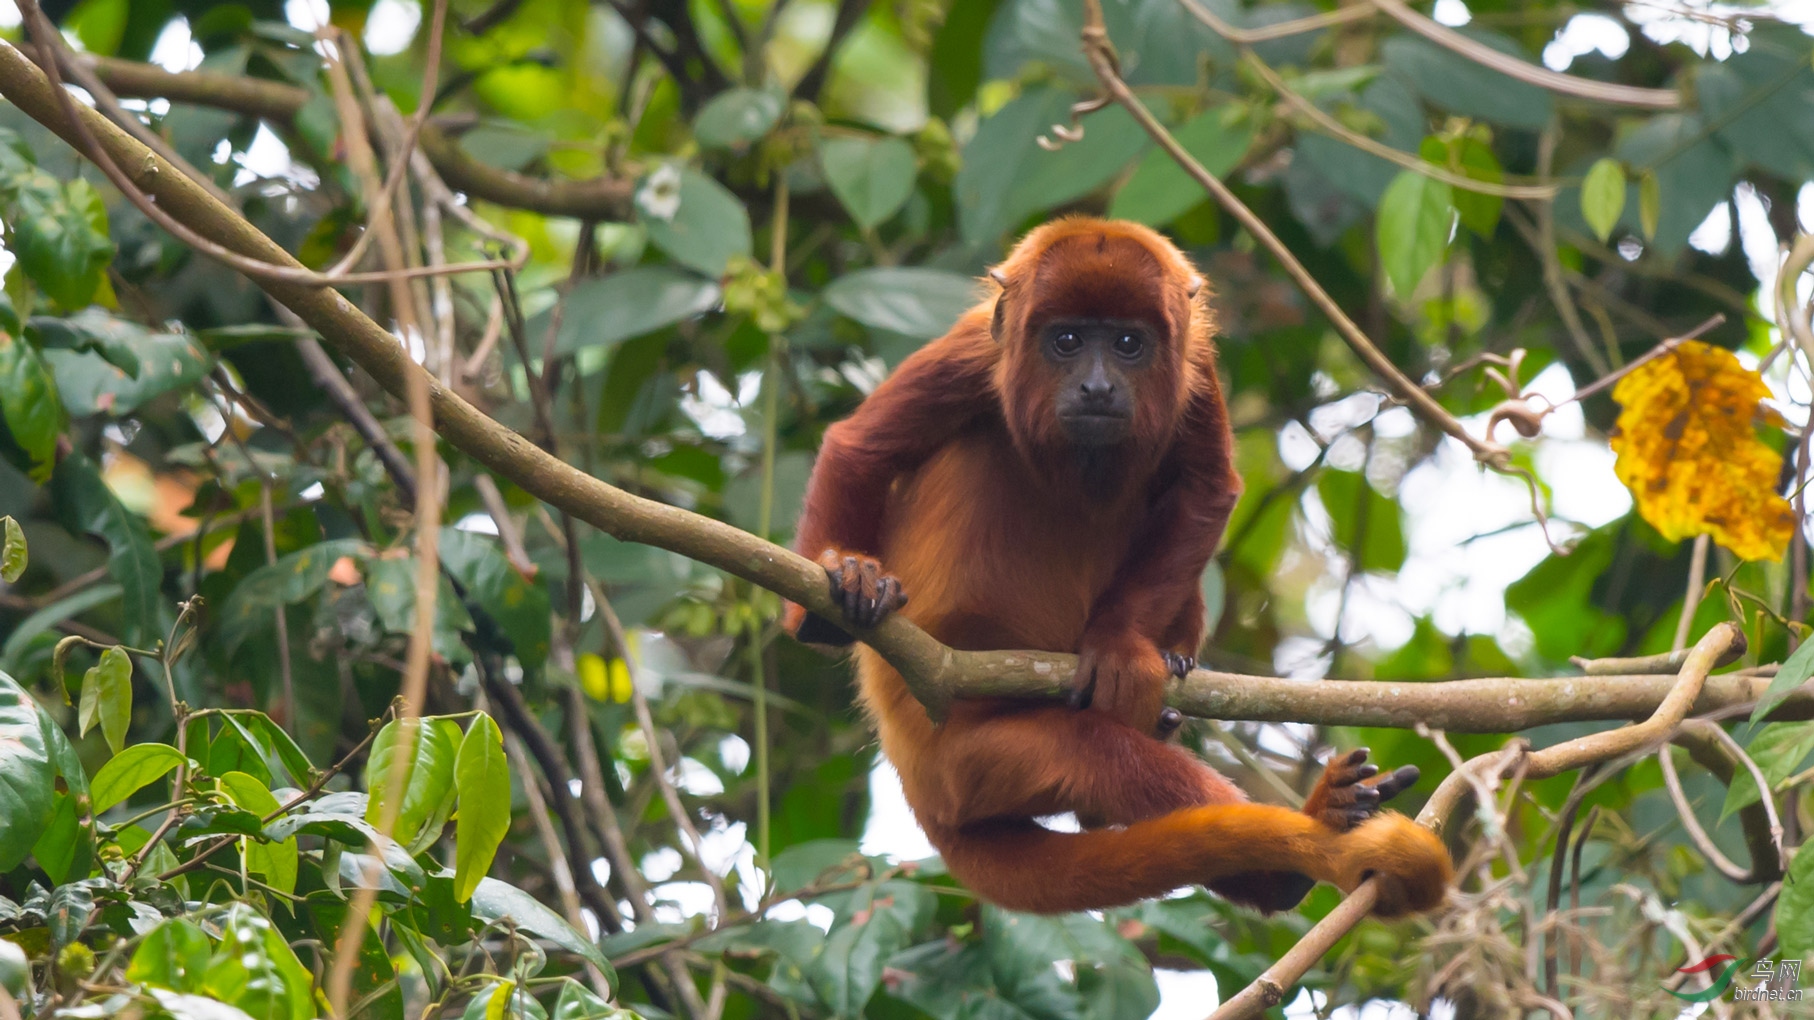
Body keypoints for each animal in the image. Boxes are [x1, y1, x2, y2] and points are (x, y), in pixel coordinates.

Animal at [787, 214, 1451, 914]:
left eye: (1129, 343)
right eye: (1067, 340)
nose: (1098, 386)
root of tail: (916, 781)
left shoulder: (1196, 366)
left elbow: (1206, 488)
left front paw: (1118, 645)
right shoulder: (973, 351)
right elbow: (861, 448)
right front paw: (841, 583)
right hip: (969, 758)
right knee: (1101, 756)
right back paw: (1299, 850)